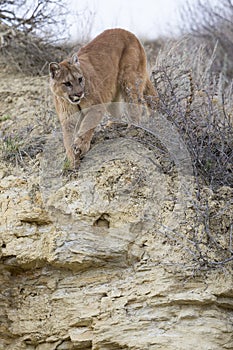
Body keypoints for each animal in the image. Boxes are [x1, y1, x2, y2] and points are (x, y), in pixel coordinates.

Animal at [49, 28, 157, 167]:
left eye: (80, 79)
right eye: (67, 83)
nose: (79, 93)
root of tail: (127, 32)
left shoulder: (95, 108)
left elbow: (87, 125)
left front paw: (80, 146)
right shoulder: (68, 119)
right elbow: (67, 139)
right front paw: (72, 159)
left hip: (129, 80)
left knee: (135, 105)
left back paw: (132, 128)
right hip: (113, 93)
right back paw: (114, 124)